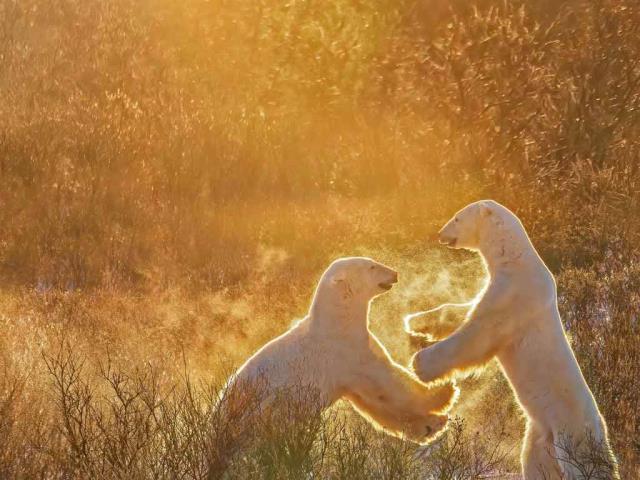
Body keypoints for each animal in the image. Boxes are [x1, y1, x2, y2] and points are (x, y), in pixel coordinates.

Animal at [220, 257, 457, 448]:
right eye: (371, 266)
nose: (395, 273)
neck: (337, 323)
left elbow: (374, 402)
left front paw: (431, 426)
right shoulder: (347, 353)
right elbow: (388, 384)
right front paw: (445, 391)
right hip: (263, 412)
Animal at [407, 200, 618, 480]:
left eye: (457, 218)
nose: (440, 234)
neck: (516, 259)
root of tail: (600, 428)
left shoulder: (513, 294)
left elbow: (477, 335)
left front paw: (419, 364)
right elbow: (464, 310)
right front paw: (416, 321)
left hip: (572, 434)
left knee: (585, 466)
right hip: (540, 435)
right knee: (535, 464)